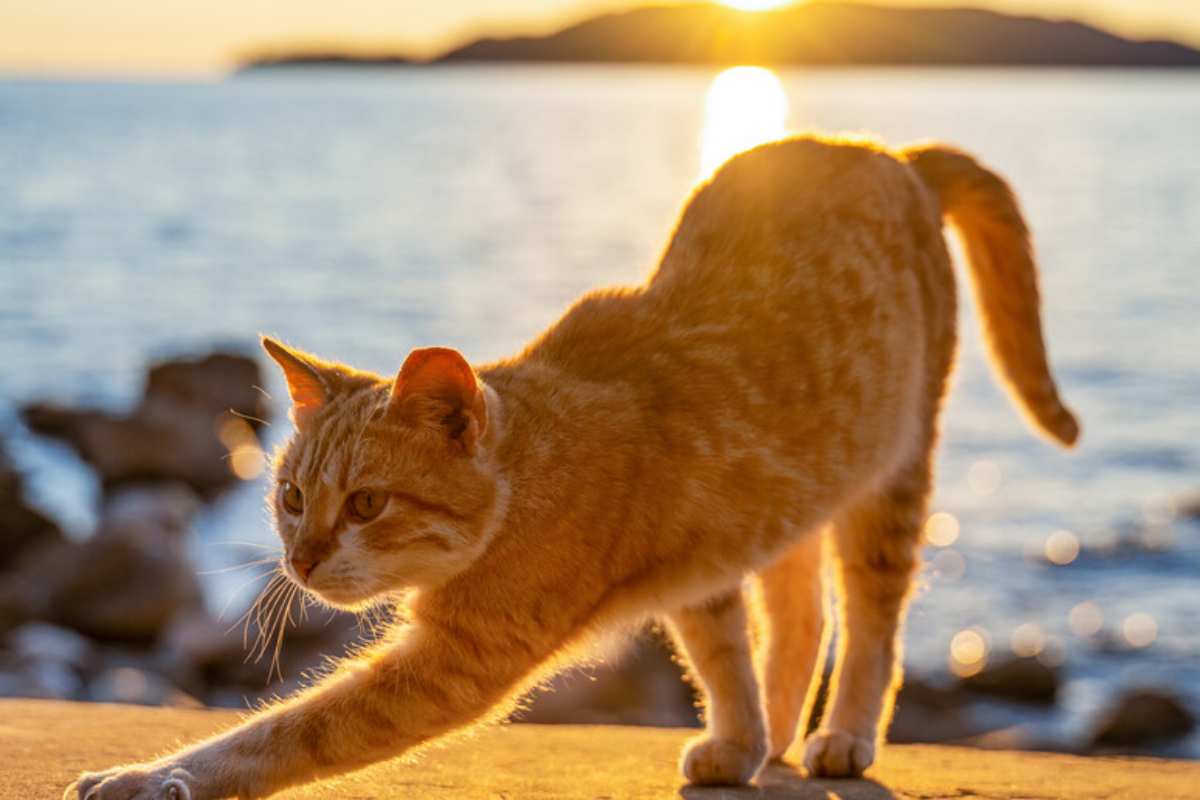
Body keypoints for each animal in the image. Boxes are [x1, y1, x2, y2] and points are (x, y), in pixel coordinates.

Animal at [68, 134, 1080, 796]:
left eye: (364, 504)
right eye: (287, 497)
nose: (300, 560)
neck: (528, 475)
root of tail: (888, 152)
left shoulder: (455, 661)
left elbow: (286, 731)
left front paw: (155, 776)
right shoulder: (705, 563)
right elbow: (724, 653)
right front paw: (744, 737)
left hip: (892, 480)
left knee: (870, 623)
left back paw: (843, 735)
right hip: (803, 496)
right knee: (800, 613)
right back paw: (781, 736)